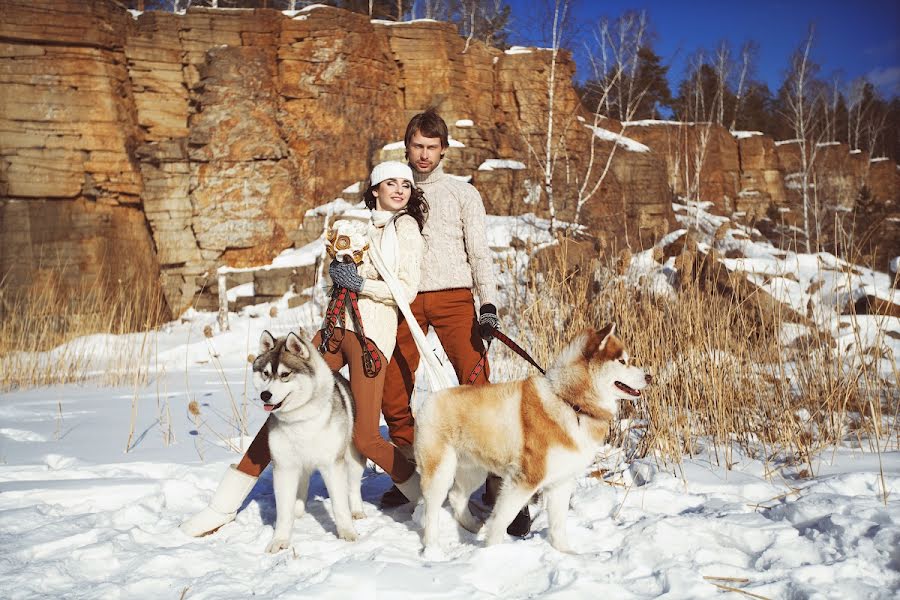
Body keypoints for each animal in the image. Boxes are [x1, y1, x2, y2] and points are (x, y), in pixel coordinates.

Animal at [414, 326, 648, 552]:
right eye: (622, 361)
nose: (649, 377)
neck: (570, 403)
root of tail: (435, 395)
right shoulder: (523, 481)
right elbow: (501, 520)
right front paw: (491, 553)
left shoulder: (561, 481)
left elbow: (558, 524)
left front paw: (566, 552)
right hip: (440, 470)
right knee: (432, 508)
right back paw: (432, 548)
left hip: (474, 470)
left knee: (457, 496)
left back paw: (472, 526)